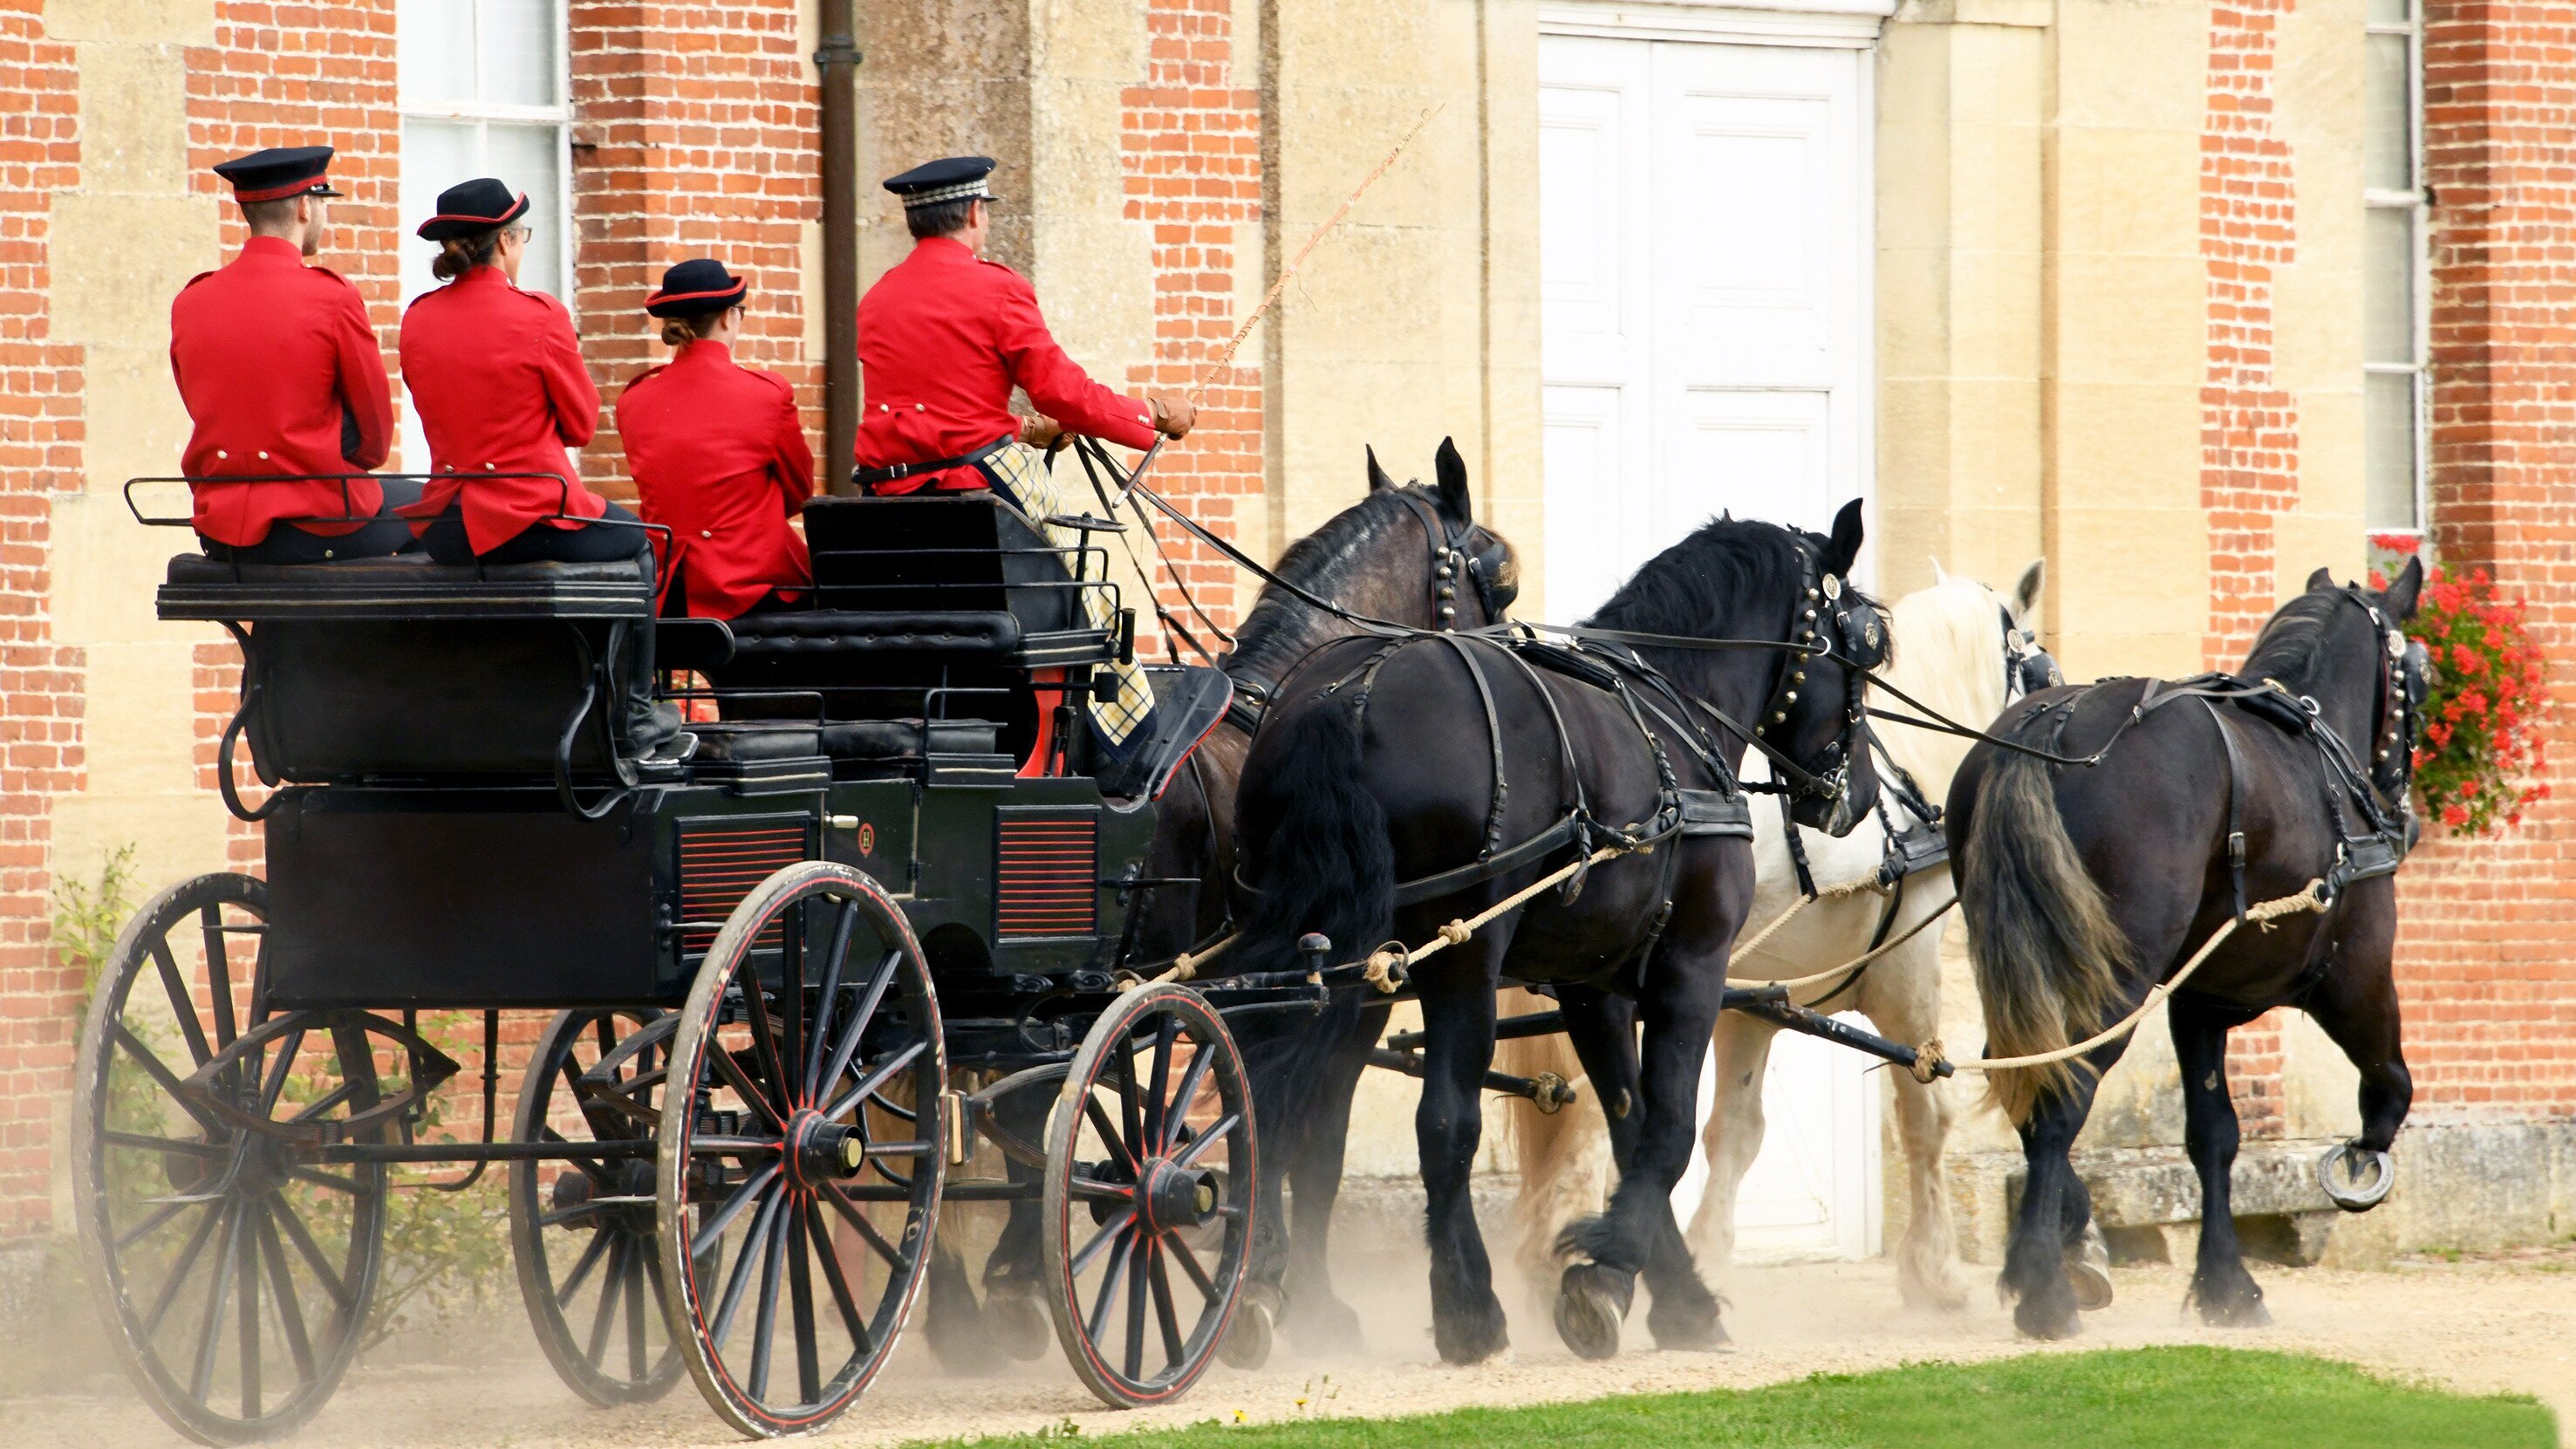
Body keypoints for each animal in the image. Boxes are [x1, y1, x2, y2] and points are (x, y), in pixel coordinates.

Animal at [932, 433, 1514, 1361]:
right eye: (1501, 573)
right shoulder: (1342, 999)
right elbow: (1307, 1142)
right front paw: (1290, 1291)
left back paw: (962, 1305)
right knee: (1016, 1110)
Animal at [1215, 502, 1885, 1361]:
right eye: (1863, 646)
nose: (1859, 794)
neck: (1677, 708)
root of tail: (1347, 695)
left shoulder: (1591, 984)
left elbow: (1631, 1125)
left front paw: (1666, 1292)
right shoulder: (1691, 965)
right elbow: (1668, 1126)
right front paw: (1609, 1274)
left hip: (1328, 958)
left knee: (1269, 1095)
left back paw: (1259, 1287)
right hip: (1457, 959)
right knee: (1443, 1121)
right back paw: (1467, 1307)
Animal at [1504, 562, 2040, 1309]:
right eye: (2038, 665)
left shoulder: (1751, 1001)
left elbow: (1734, 1131)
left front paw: (1705, 1251)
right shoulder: (1905, 973)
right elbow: (1924, 1115)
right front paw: (1935, 1271)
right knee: (1588, 1120)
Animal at [1947, 559, 2431, 1340]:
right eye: (2416, 674)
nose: (2402, 813)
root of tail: (2053, 723)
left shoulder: (2199, 1001)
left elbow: (2213, 1134)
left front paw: (2224, 1281)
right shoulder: (2354, 974)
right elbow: (2389, 1082)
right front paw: (2361, 1157)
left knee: (2027, 1079)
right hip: (2115, 981)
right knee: (2062, 1096)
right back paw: (2044, 1285)